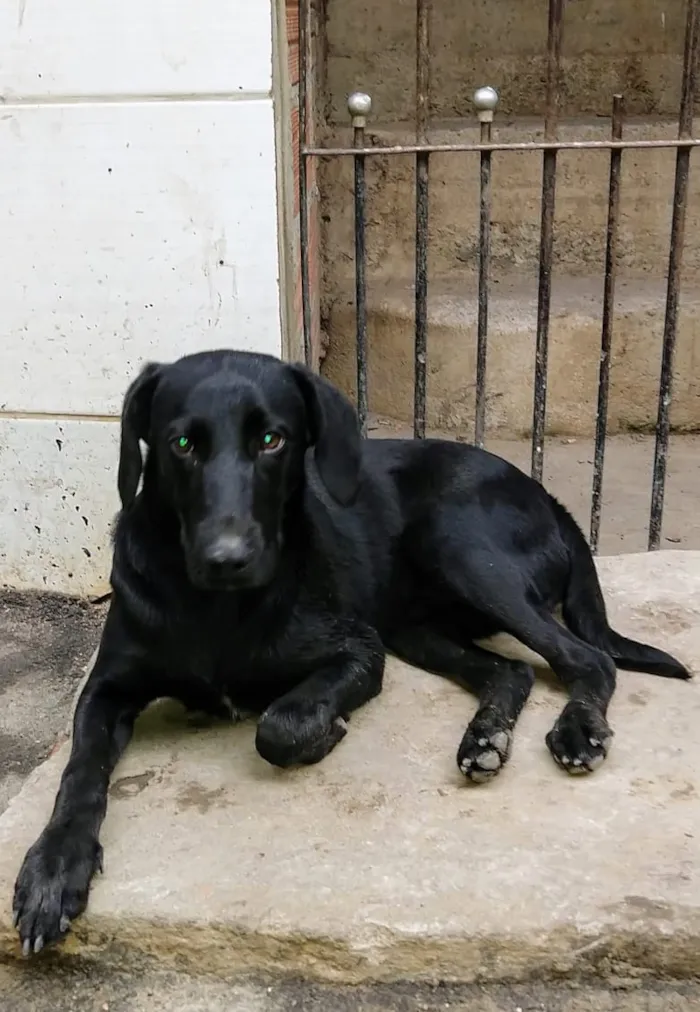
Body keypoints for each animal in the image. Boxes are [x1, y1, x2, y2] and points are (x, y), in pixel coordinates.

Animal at [12, 346, 687, 947]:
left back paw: (578, 731)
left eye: (273, 440)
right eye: (182, 445)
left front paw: (323, 732)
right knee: (510, 674)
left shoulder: (358, 651)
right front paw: (53, 868)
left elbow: (280, 725)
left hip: (462, 548)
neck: (216, 608)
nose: (227, 558)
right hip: (415, 627)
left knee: (587, 658)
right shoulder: (106, 690)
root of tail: (547, 494)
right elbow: (78, 772)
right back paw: (485, 740)